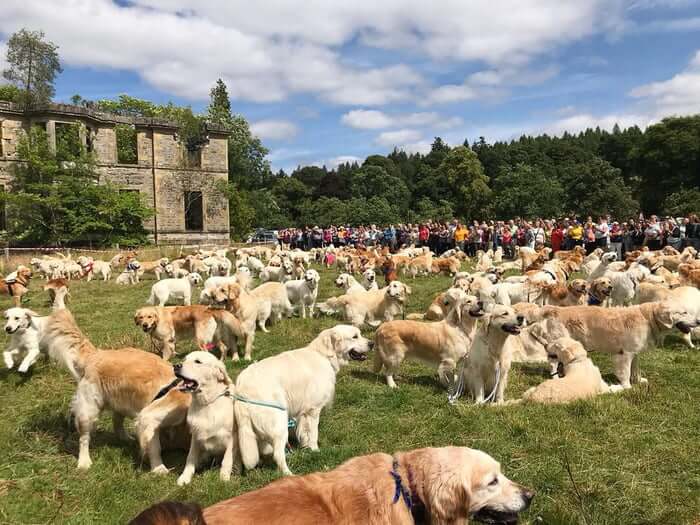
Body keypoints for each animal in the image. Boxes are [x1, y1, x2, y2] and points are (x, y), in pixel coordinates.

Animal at [175, 350, 241, 486]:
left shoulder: (231, 437)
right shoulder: (195, 436)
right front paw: (185, 477)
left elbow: (227, 459)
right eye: (184, 359)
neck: (207, 403)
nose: (176, 366)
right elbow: (190, 457)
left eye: (198, 361)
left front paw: (224, 478)